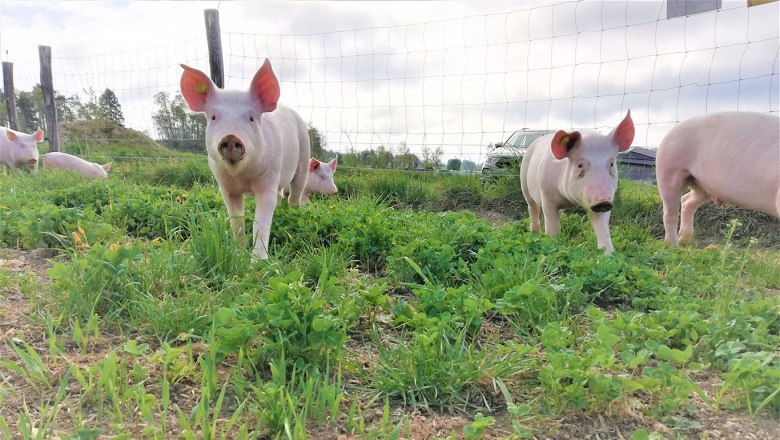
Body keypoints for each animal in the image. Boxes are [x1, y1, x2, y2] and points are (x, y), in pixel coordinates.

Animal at [178, 58, 310, 258]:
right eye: (214, 117)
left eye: (251, 118)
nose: (231, 137)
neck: (242, 176)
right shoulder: (226, 187)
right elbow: (236, 220)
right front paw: (238, 254)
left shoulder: (269, 178)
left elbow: (261, 223)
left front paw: (258, 262)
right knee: (280, 195)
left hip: (304, 156)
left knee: (295, 192)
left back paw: (294, 214)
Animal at [516, 110, 632, 254]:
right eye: (580, 165)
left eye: (611, 164)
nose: (603, 202)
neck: (571, 201)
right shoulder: (546, 195)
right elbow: (552, 225)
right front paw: (553, 244)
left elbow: (602, 227)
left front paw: (609, 254)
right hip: (524, 183)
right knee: (533, 208)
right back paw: (536, 233)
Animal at [656, 110, 776, 246]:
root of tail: (674, 128)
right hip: (669, 168)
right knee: (670, 212)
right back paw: (673, 246)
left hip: (703, 185)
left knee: (686, 200)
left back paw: (685, 242)